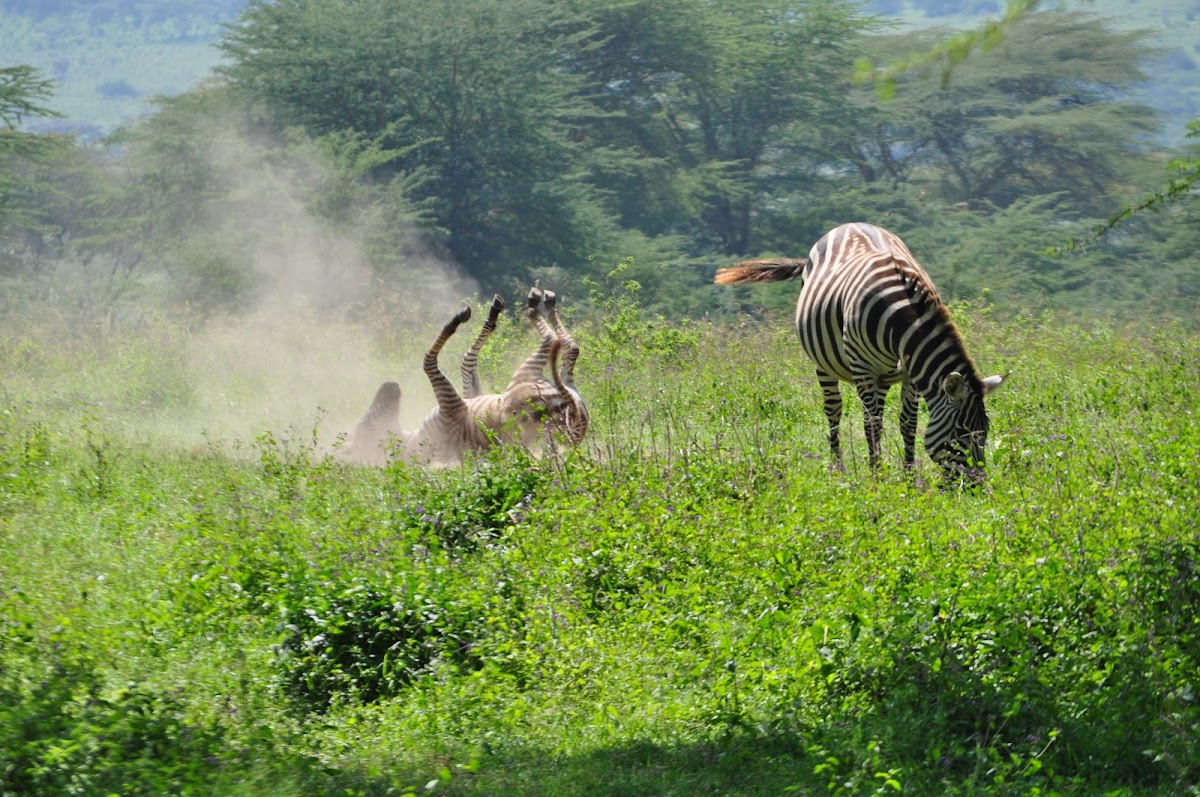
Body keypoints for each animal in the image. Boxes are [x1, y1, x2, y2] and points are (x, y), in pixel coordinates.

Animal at [331, 288, 588, 468]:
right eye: (364, 426)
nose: (390, 385)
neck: (414, 442)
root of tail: (575, 417)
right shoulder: (452, 405)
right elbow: (433, 360)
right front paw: (461, 317)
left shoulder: (467, 397)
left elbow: (465, 364)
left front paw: (490, 315)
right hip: (524, 378)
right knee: (554, 341)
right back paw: (537, 301)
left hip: (550, 384)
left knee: (568, 348)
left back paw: (544, 302)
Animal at [715, 220, 1008, 480]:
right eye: (960, 433)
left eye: (985, 433)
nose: (976, 485)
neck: (901, 313)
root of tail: (849, 224)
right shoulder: (862, 367)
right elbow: (871, 424)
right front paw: (876, 477)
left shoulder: (911, 372)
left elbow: (908, 423)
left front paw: (908, 476)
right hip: (826, 364)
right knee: (835, 411)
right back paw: (838, 469)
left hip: (884, 374)